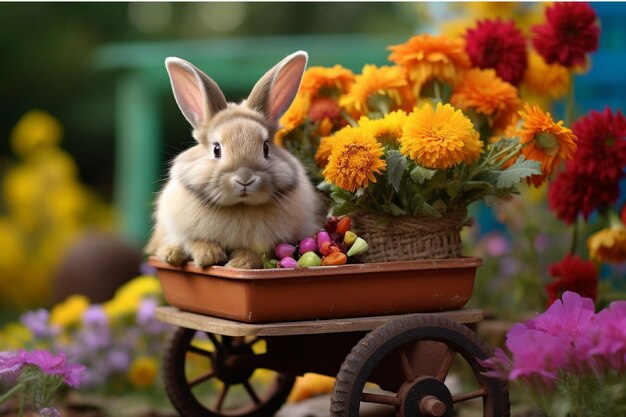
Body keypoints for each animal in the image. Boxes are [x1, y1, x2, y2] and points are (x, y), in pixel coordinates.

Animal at [145, 50, 322, 268]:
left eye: (266, 148)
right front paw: (208, 256)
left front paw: (239, 263)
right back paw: (170, 254)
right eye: (216, 149)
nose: (245, 179)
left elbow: (258, 254)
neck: (240, 206)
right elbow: (194, 241)